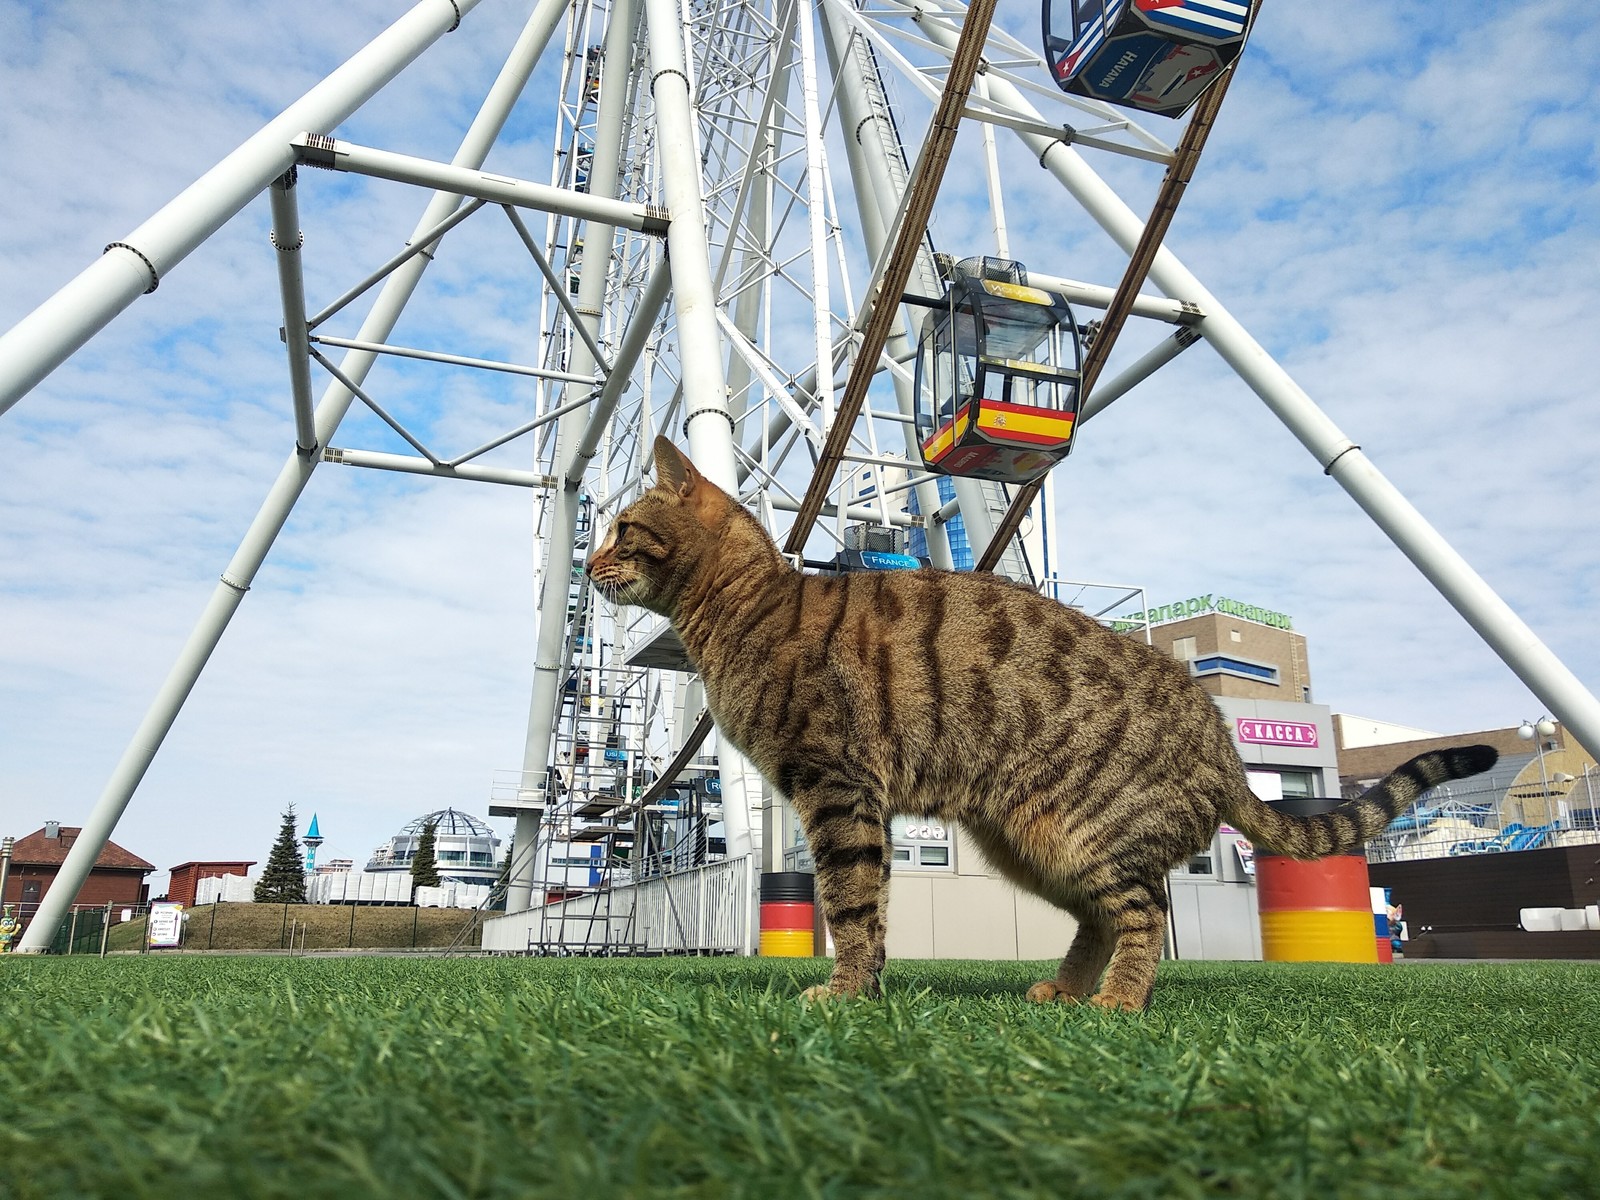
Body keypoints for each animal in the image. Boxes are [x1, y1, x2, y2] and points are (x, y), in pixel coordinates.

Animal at [592, 438, 1497, 1011]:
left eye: (623, 528)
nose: (593, 560)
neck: (743, 609)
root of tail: (1222, 740)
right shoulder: (851, 803)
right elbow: (870, 908)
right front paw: (868, 987)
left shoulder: (836, 789)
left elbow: (850, 903)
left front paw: (845, 993)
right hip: (1030, 843)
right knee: (1104, 915)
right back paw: (1065, 989)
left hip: (1086, 833)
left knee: (1146, 912)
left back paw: (1119, 1002)